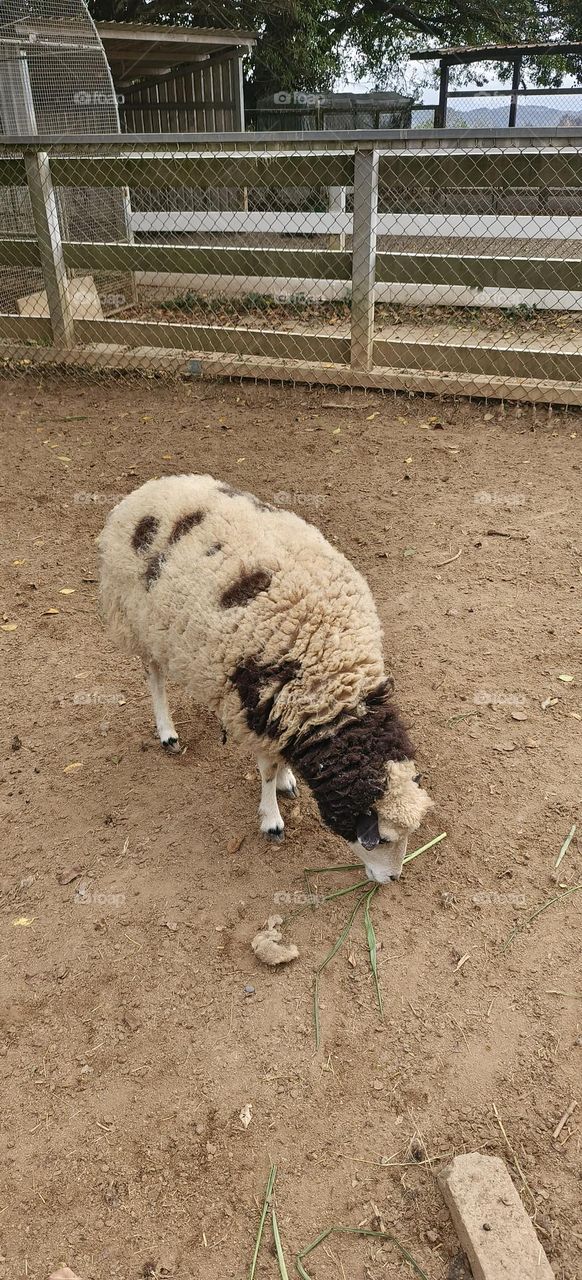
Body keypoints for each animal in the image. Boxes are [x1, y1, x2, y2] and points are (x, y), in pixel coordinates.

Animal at [99, 474, 433, 883]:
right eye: (379, 839)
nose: (394, 879)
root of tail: (150, 487)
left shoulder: (284, 709)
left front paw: (289, 779)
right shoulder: (256, 705)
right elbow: (267, 771)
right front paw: (272, 818)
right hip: (137, 620)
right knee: (155, 677)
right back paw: (167, 733)